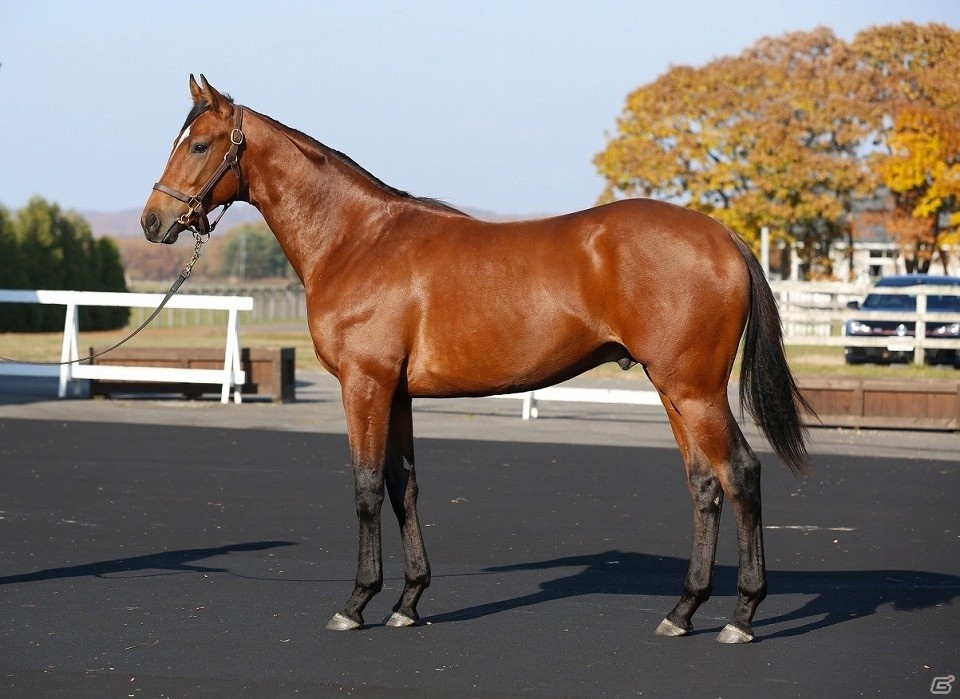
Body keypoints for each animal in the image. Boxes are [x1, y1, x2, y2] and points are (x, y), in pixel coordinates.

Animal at [141, 75, 813, 644]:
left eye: (199, 144)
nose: (153, 221)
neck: (357, 239)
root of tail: (722, 236)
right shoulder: (398, 394)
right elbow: (403, 486)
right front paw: (409, 602)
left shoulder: (364, 385)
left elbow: (365, 487)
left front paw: (356, 603)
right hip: (674, 389)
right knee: (705, 485)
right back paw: (683, 611)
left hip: (695, 389)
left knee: (741, 475)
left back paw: (742, 616)